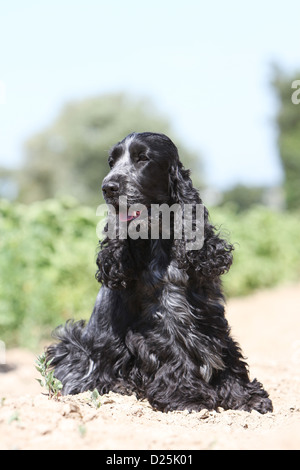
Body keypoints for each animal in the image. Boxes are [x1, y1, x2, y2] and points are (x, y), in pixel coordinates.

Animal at [46, 131, 272, 412]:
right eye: (112, 162)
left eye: (143, 158)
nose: (108, 187)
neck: (161, 242)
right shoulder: (160, 318)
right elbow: (173, 352)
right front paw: (188, 397)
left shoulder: (208, 311)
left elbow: (224, 350)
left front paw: (245, 395)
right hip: (73, 344)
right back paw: (122, 386)